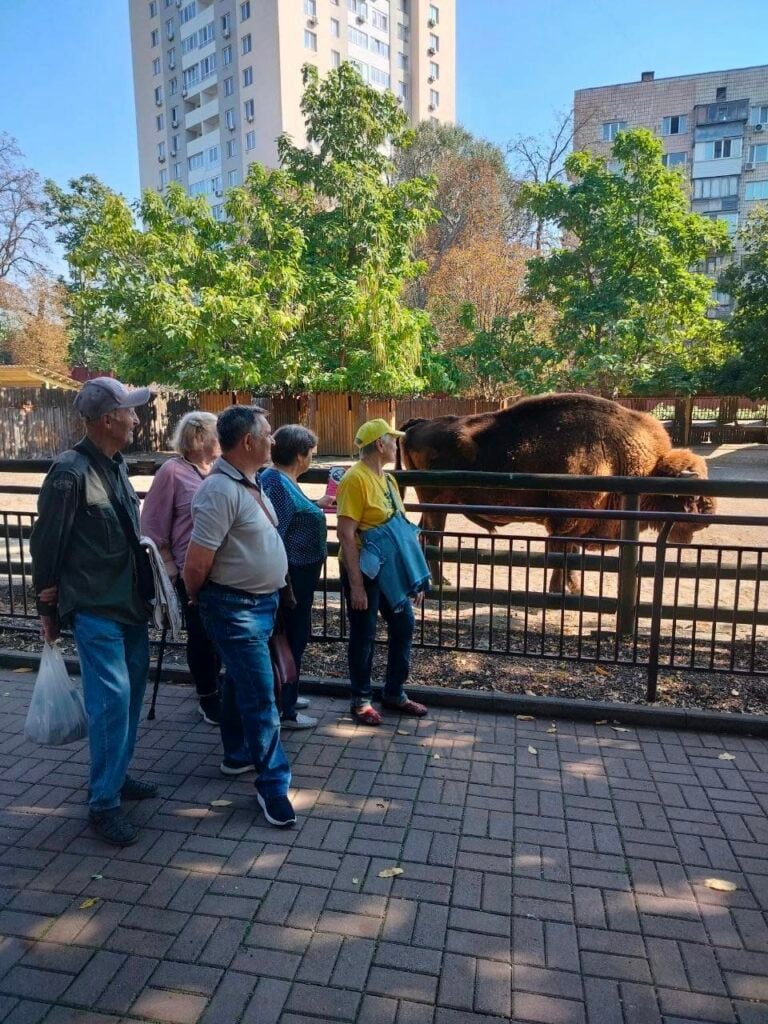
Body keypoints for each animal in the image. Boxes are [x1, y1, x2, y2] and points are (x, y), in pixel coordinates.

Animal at [399, 395, 720, 598]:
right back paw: (441, 584)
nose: (708, 516)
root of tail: (417, 425)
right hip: (437, 504)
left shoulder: (577, 524)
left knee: (426, 537)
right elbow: (559, 555)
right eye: (692, 497)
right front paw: (556, 592)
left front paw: (575, 589)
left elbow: (571, 556)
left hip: (435, 505)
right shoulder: (563, 522)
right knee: (432, 539)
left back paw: (440, 581)